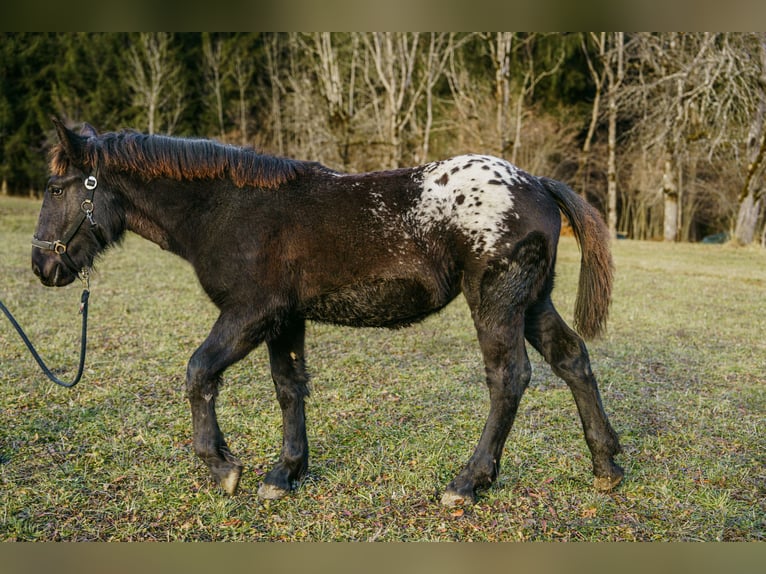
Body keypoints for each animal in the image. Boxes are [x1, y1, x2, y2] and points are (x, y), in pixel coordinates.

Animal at [33, 119, 628, 506]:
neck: (227, 210)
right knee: (571, 359)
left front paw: (223, 468)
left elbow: (199, 371)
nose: (42, 265)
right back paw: (607, 467)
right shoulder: (284, 319)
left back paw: (467, 483)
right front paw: (284, 473)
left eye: (56, 188)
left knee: (509, 378)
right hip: (532, 302)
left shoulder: (250, 313)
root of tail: (537, 183)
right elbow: (289, 387)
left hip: (496, 303)